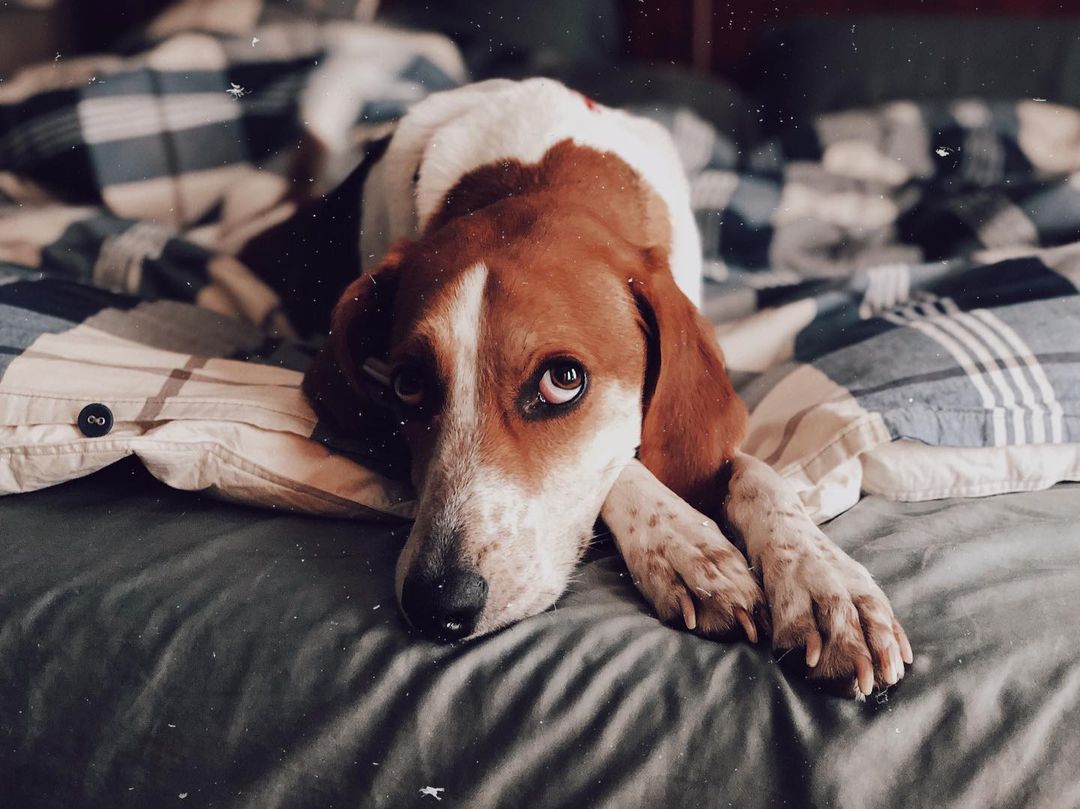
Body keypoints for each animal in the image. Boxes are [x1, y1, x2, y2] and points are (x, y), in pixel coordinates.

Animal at [304, 78, 911, 695]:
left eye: (564, 380)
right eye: (407, 385)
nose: (437, 607)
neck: (535, 167)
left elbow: (756, 474)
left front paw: (825, 581)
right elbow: (628, 465)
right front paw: (684, 545)